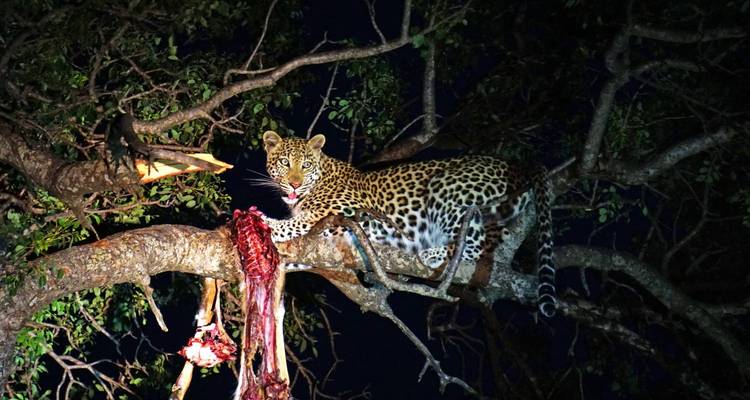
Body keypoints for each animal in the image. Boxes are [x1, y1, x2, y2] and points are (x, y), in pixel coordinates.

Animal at [259, 131, 557, 317]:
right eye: (284, 162)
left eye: (306, 165)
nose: (294, 184)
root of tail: (511, 165)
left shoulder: (347, 211)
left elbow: (301, 222)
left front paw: (268, 223)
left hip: (446, 187)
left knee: (474, 245)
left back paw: (432, 253)